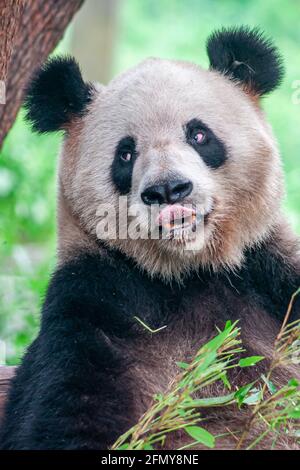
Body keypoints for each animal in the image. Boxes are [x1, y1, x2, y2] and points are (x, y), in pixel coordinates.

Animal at [0, 26, 300, 452]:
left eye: (199, 134)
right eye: (125, 154)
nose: (168, 189)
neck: (188, 273)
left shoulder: (269, 272)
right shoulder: (94, 300)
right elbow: (64, 413)